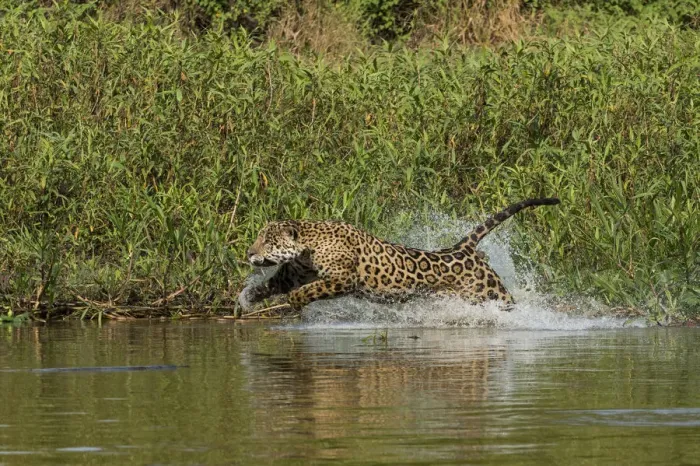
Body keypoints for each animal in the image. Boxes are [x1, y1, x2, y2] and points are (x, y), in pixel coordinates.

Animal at [239, 197, 560, 311]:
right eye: (259, 238)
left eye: (267, 240)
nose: (249, 252)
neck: (307, 247)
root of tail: (462, 248)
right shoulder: (293, 273)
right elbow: (271, 284)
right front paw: (247, 297)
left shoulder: (342, 279)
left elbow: (312, 289)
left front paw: (295, 301)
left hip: (492, 293)